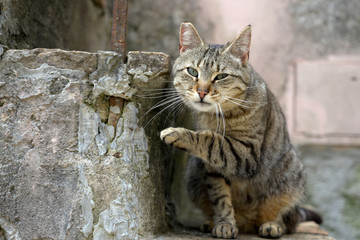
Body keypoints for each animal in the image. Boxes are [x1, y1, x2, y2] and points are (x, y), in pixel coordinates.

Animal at [159, 23, 322, 238]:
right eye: (193, 72)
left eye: (221, 76)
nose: (202, 91)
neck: (217, 116)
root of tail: (248, 220)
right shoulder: (213, 169)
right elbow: (220, 198)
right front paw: (224, 223)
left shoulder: (246, 153)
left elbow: (210, 140)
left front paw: (177, 134)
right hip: (194, 172)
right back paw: (211, 222)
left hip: (291, 174)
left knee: (288, 219)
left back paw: (273, 225)